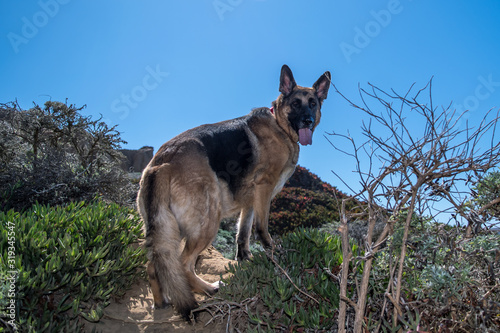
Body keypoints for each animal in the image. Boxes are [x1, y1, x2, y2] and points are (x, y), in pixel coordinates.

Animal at [138, 63, 332, 318]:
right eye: (296, 103)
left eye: (313, 103)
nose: (308, 121)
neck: (279, 125)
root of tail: (161, 163)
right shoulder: (264, 189)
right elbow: (261, 228)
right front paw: (274, 253)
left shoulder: (249, 201)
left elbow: (243, 233)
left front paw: (245, 259)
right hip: (207, 222)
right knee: (183, 263)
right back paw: (207, 289)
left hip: (168, 229)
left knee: (154, 264)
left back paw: (161, 301)